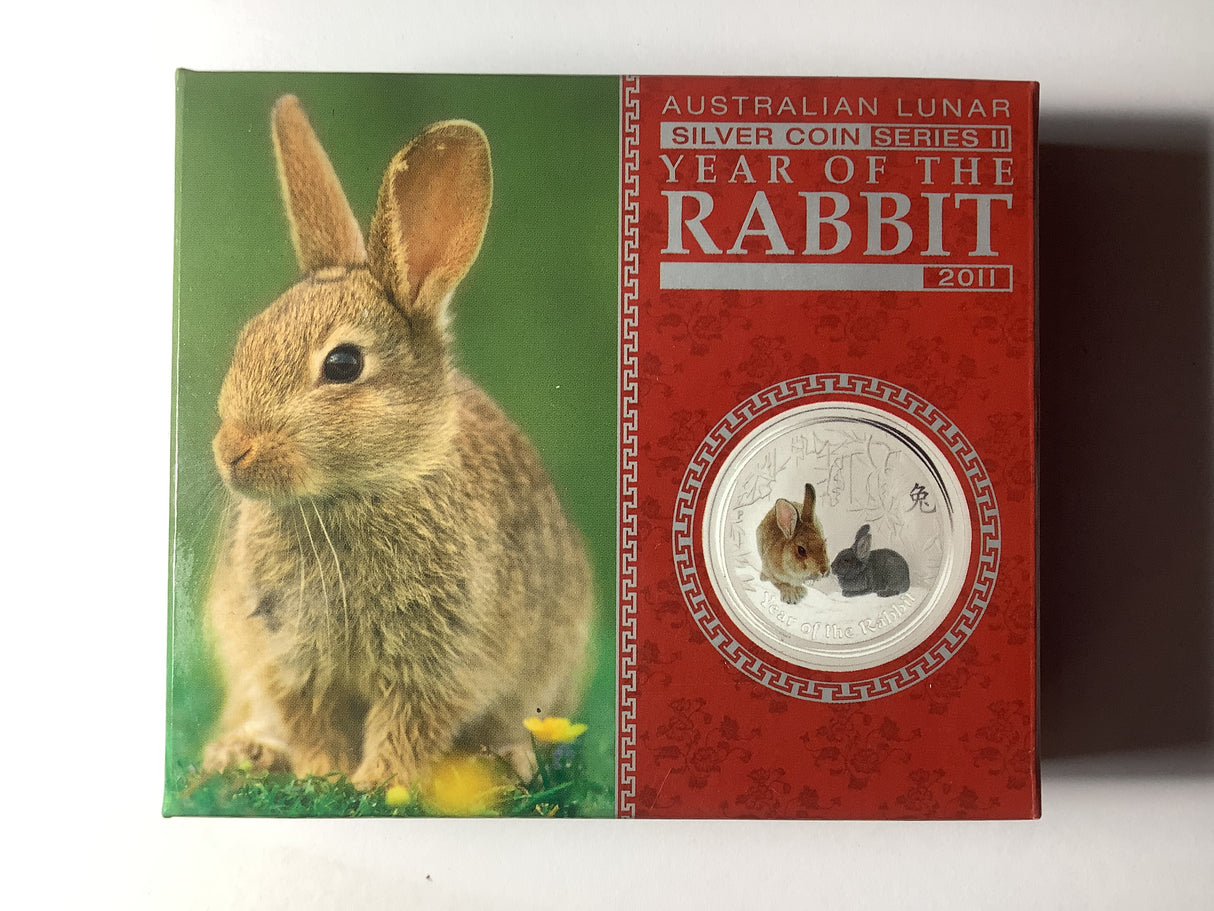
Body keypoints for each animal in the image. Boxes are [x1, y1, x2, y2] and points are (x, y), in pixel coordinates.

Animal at [200, 95, 593, 791]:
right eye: (248, 338)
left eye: (343, 365)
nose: (233, 452)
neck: (362, 489)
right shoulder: (288, 652)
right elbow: (312, 716)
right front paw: (323, 775)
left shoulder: (442, 654)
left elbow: (410, 719)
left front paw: (381, 783)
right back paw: (244, 754)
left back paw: (507, 759)